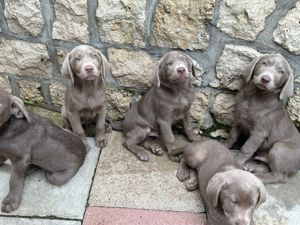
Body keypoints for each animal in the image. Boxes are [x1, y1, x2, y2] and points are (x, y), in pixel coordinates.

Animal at [225, 54, 300, 185]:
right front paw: (224, 146)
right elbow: (232, 137)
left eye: (281, 72)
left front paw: (237, 162)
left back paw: (257, 177)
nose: (265, 79)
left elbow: (246, 148)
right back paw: (251, 166)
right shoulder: (238, 120)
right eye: (264, 63)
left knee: (280, 176)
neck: (256, 96)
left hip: (279, 148)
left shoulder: (259, 132)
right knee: (268, 166)